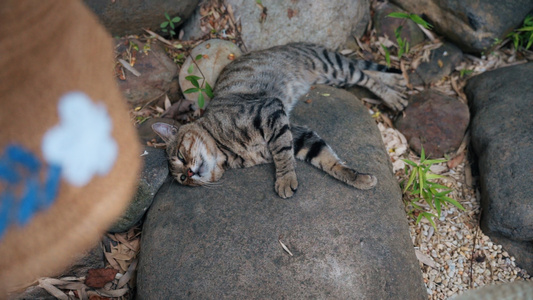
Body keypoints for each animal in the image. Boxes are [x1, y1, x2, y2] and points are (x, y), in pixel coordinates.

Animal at [154, 41, 408, 197]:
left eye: (180, 156)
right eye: (182, 179)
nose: (188, 174)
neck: (225, 151)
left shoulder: (271, 111)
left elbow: (282, 153)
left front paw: (285, 180)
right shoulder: (298, 134)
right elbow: (328, 160)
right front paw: (358, 179)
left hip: (333, 67)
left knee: (363, 74)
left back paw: (393, 94)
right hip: (333, 77)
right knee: (364, 70)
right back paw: (396, 83)